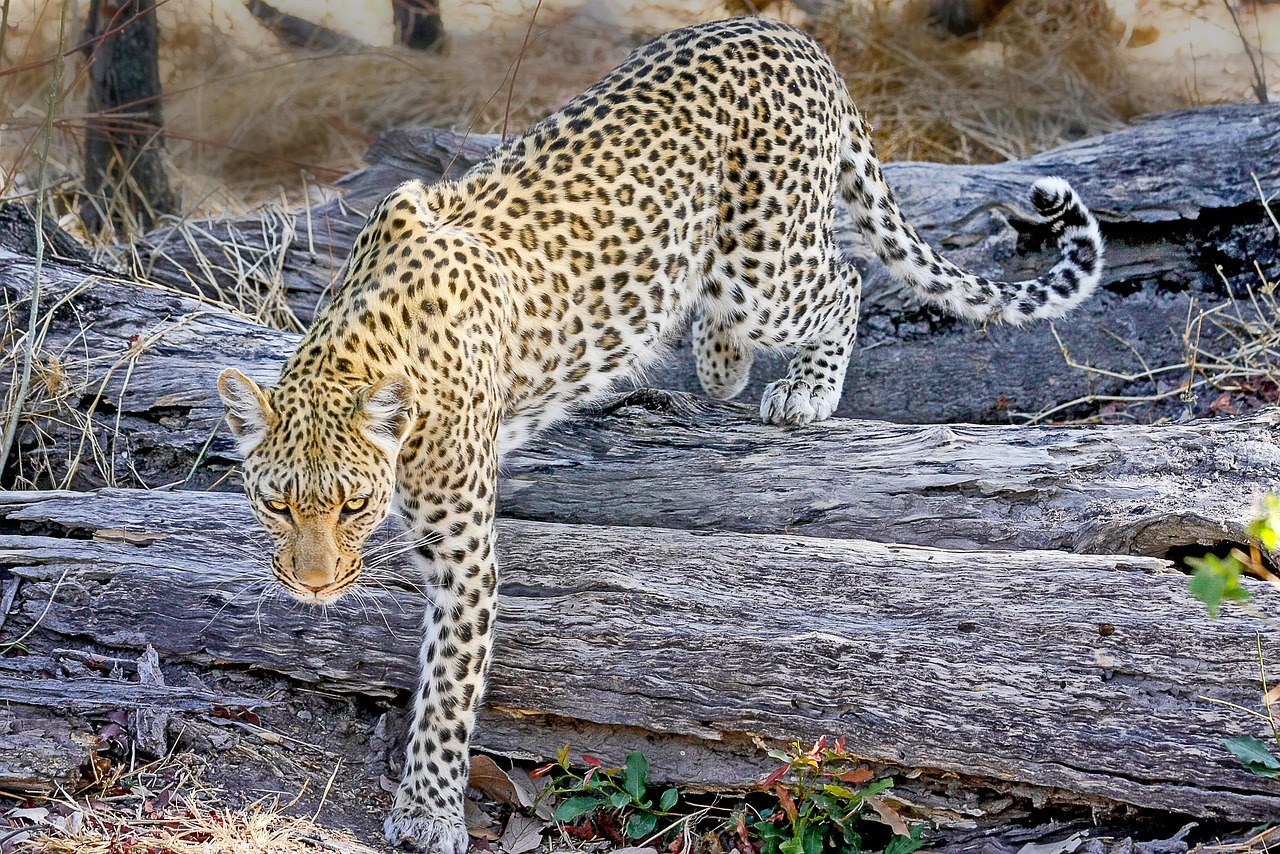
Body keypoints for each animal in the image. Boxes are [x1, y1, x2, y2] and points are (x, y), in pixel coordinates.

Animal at [217, 15, 1100, 854]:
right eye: (278, 507)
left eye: (354, 506)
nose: (313, 587)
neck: (361, 346)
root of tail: (793, 37)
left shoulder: (463, 553)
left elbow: (448, 688)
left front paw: (429, 810)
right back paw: (719, 361)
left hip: (764, 265)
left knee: (844, 278)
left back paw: (803, 389)